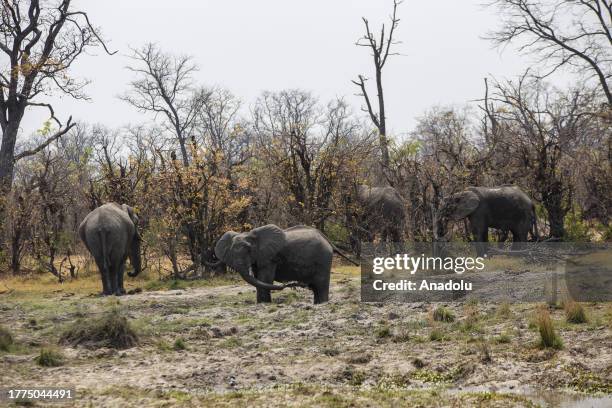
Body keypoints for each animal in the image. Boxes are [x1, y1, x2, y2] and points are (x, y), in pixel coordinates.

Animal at [208, 225, 356, 304]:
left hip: (323, 259)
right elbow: (258, 279)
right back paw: (317, 304)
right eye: (231, 252)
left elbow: (265, 279)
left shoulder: (270, 257)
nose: (293, 284)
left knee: (321, 284)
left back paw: (323, 303)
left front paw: (264, 304)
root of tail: (328, 240)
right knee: (315, 287)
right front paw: (262, 303)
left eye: (249, 250)